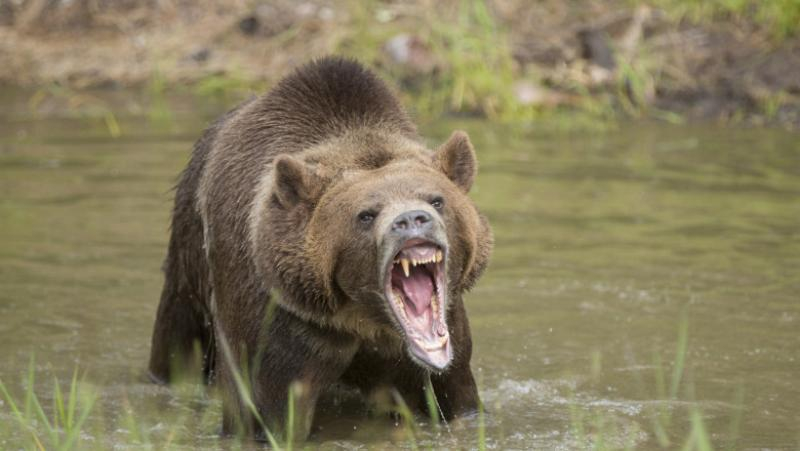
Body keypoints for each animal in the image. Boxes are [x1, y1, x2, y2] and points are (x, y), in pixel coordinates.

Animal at [147, 56, 493, 441]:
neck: (362, 317)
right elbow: (266, 411)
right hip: (190, 256)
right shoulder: (281, 324)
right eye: (366, 214)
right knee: (178, 339)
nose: (412, 219)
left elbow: (455, 395)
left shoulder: (442, 343)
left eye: (436, 199)